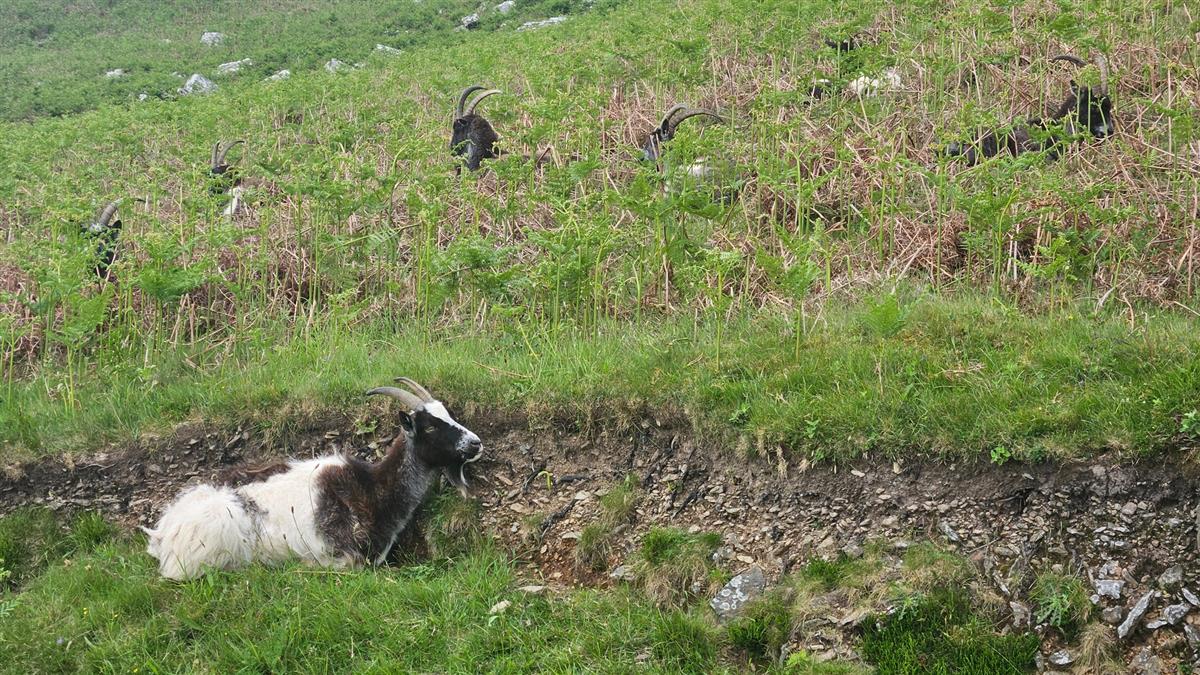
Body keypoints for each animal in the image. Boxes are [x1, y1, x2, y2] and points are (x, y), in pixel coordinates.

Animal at [144, 378, 483, 580]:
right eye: (430, 427)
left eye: (449, 414)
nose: (476, 443)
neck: (374, 488)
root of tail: (163, 534)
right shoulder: (341, 557)